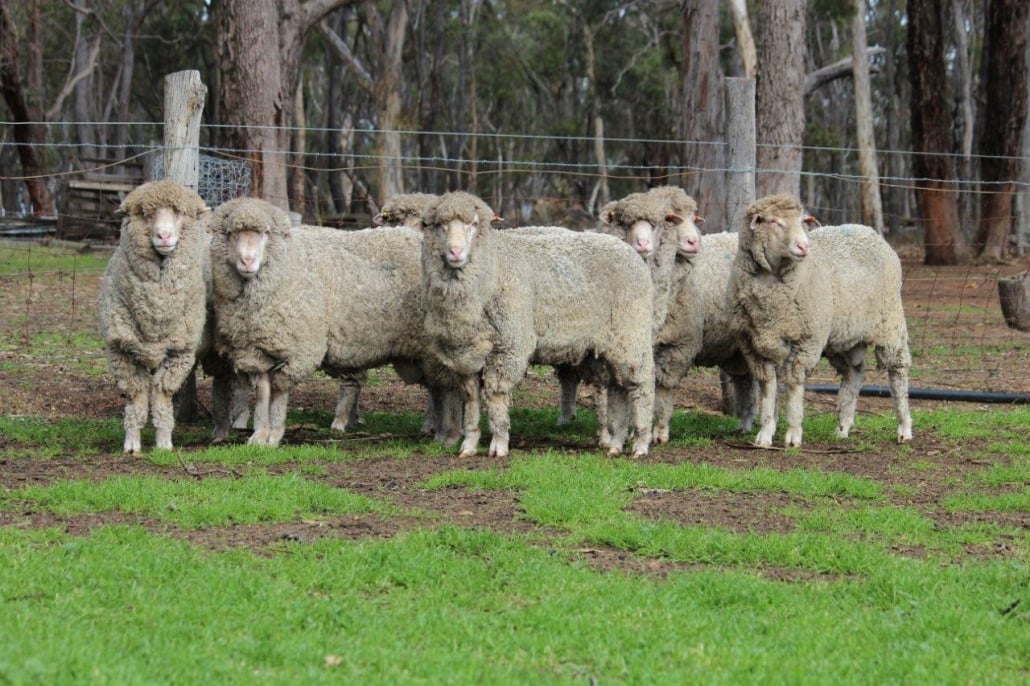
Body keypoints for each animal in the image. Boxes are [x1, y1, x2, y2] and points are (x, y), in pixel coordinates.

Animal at [97, 179, 239, 453]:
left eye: (180, 213)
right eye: (145, 214)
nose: (164, 236)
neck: (156, 308)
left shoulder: (180, 351)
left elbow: (162, 394)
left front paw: (163, 442)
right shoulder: (121, 349)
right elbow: (136, 396)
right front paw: (132, 443)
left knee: (225, 382)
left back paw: (224, 429)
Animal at [209, 197, 455, 447]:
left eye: (266, 232)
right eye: (230, 233)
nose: (247, 261)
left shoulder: (301, 349)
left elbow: (278, 390)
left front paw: (274, 435)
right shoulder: (257, 349)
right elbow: (262, 392)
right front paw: (259, 435)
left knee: (443, 387)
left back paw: (443, 432)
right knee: (438, 387)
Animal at [419, 191, 656, 458]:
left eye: (474, 224)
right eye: (439, 225)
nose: (456, 252)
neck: (494, 268)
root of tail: (631, 253)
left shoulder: (509, 345)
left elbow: (496, 394)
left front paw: (499, 444)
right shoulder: (467, 353)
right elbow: (471, 400)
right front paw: (469, 444)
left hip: (632, 330)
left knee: (642, 383)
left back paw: (641, 442)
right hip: (612, 343)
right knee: (619, 386)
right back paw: (616, 443)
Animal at [727, 193, 913, 448]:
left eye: (801, 221)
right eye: (773, 221)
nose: (803, 246)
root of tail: (870, 231)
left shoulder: (807, 340)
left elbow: (794, 383)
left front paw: (793, 434)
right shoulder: (755, 345)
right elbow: (768, 388)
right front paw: (765, 433)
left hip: (890, 320)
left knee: (897, 371)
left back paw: (904, 428)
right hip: (845, 335)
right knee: (854, 374)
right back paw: (843, 427)